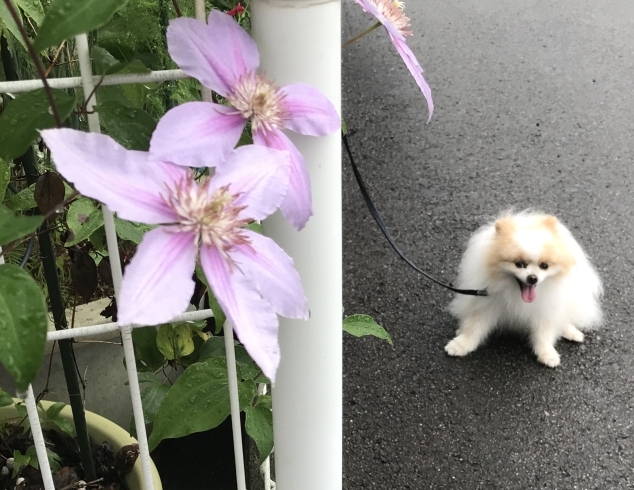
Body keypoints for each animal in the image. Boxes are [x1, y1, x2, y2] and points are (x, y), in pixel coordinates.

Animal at [444, 211, 604, 368]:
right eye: (519, 264)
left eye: (544, 266)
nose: (533, 278)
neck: (516, 293)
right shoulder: (486, 304)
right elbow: (474, 327)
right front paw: (461, 344)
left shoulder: (546, 310)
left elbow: (544, 334)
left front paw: (547, 354)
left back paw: (571, 332)